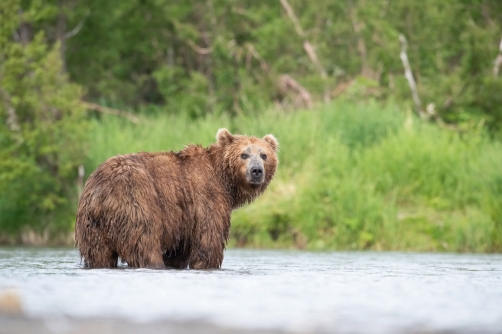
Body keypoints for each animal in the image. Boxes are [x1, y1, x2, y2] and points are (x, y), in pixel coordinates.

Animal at [74, 128, 278, 268]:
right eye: (244, 154)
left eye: (264, 155)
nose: (256, 171)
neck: (224, 180)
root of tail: (101, 193)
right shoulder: (207, 198)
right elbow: (208, 241)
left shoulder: (184, 221)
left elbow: (179, 251)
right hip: (136, 204)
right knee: (145, 246)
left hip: (91, 227)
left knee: (100, 256)